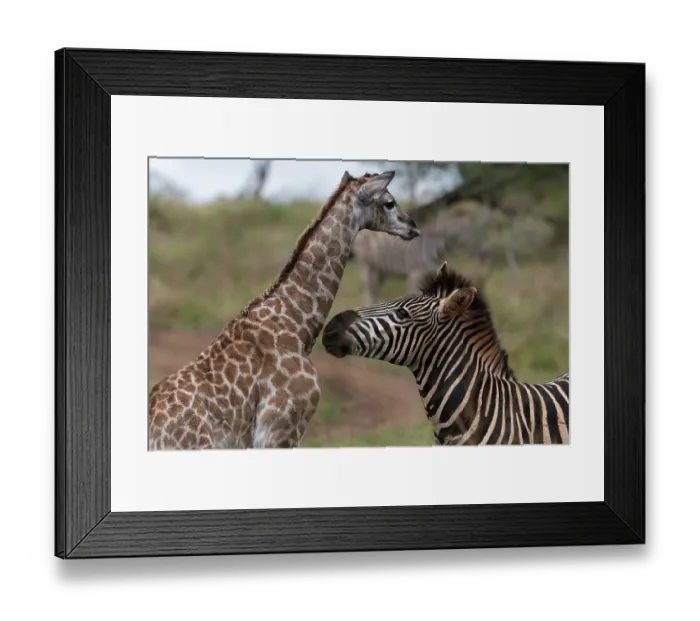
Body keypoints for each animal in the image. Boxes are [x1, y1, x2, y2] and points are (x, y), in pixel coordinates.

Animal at [350, 215, 491, 306]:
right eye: (474, 236)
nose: (486, 253)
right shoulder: (415, 273)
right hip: (366, 266)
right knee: (368, 291)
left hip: (381, 270)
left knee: (375, 292)